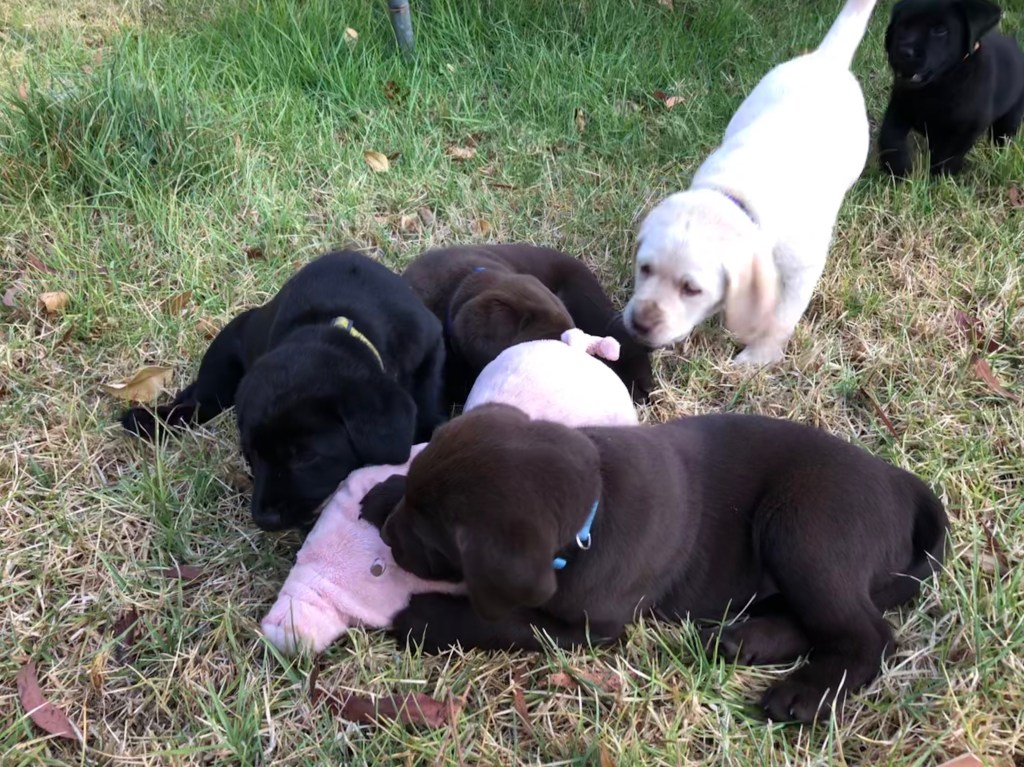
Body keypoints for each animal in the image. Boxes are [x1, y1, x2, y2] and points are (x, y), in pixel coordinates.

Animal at [120, 250, 446, 531]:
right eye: (250, 454)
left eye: (305, 456)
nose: (264, 519)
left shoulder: (430, 344)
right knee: (199, 400)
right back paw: (151, 419)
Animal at [379, 407, 947, 723]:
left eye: (433, 543)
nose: (385, 534)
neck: (596, 502)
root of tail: (902, 483)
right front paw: (383, 489)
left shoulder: (588, 630)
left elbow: (507, 625)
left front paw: (425, 619)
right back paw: (748, 639)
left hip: (803, 529)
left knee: (868, 634)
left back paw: (804, 691)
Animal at [623, 0, 877, 365]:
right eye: (644, 268)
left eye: (691, 289)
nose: (639, 324)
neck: (737, 195)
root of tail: (826, 57)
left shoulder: (802, 271)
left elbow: (780, 318)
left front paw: (757, 359)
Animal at [879, 0, 1024, 177]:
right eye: (901, 25)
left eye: (939, 30)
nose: (903, 51)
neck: (938, 85)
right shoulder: (899, 106)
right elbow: (890, 136)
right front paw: (897, 169)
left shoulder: (966, 128)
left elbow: (946, 156)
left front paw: (938, 178)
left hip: (1012, 114)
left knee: (1002, 136)